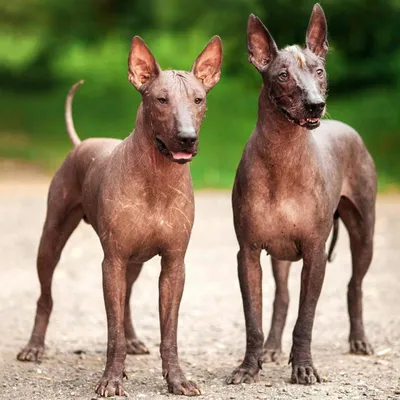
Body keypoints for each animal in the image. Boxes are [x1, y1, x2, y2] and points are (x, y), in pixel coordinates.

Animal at [17, 35, 223, 396]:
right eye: (161, 100)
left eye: (199, 100)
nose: (187, 137)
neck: (157, 177)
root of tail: (81, 142)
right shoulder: (111, 261)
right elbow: (112, 334)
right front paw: (111, 378)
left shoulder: (174, 264)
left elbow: (169, 333)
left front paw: (176, 379)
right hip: (52, 239)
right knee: (46, 296)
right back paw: (34, 346)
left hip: (135, 261)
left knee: (126, 298)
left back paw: (134, 339)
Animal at [227, 3, 376, 388]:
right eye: (282, 75)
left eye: (319, 71)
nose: (315, 104)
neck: (283, 155)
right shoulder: (248, 254)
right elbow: (253, 320)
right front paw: (249, 367)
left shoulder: (314, 253)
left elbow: (306, 319)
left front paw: (304, 367)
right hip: (278, 256)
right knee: (281, 297)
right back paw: (272, 348)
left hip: (363, 234)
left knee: (355, 285)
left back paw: (359, 339)